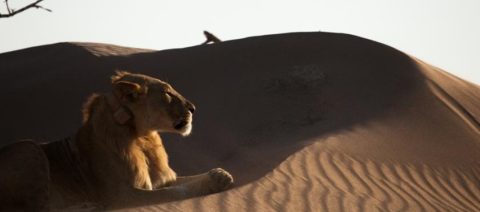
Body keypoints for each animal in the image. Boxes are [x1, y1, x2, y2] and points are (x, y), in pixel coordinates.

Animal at [0, 71, 234, 210]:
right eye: (167, 93)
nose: (193, 108)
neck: (143, 137)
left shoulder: (162, 179)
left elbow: (186, 180)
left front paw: (220, 175)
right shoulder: (122, 196)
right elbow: (174, 192)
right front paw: (215, 181)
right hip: (29, 148)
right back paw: (88, 206)